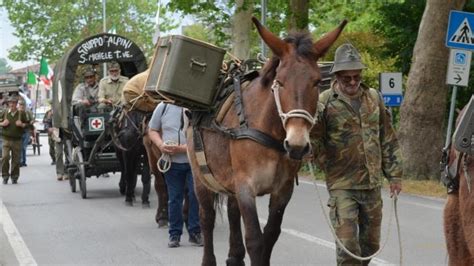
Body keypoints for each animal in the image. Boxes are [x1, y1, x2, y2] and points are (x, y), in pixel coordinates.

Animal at [187, 17, 346, 264]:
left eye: (317, 82)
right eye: (279, 82)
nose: (297, 145)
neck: (271, 133)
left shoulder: (282, 190)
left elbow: (270, 235)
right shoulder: (246, 187)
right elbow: (255, 239)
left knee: (232, 212)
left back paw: (234, 256)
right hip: (200, 177)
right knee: (207, 218)